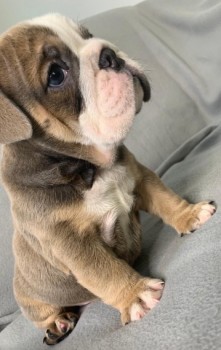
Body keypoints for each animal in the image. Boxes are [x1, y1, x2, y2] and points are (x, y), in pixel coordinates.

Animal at [0, 14, 215, 344]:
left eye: (88, 35)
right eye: (55, 75)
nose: (109, 55)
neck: (89, 165)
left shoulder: (139, 177)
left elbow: (166, 199)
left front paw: (190, 215)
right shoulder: (73, 244)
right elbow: (105, 271)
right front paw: (137, 296)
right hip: (32, 301)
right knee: (45, 314)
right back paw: (59, 322)